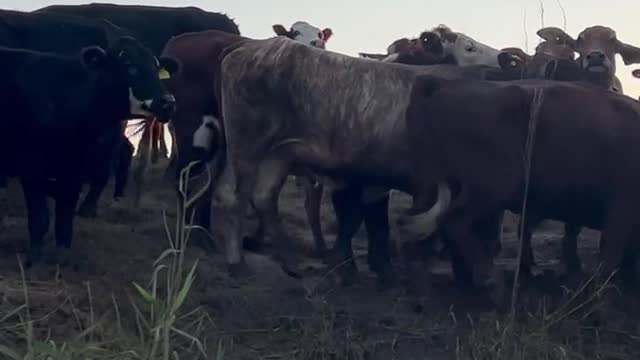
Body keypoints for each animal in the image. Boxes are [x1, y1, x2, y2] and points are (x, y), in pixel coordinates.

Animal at [161, 21, 336, 253]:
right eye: (295, 33)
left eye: (319, 34)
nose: (316, 44)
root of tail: (181, 40)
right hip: (192, 128)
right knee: (185, 177)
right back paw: (186, 235)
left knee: (205, 183)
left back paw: (202, 232)